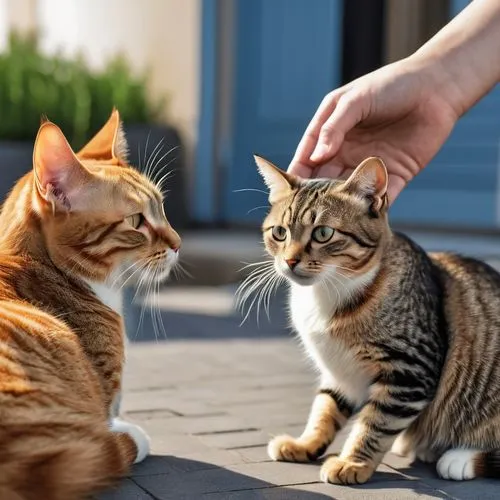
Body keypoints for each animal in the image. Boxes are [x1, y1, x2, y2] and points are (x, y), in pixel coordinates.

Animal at [254, 155, 500, 484]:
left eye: (323, 233)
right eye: (279, 232)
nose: (290, 261)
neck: (328, 293)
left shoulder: (409, 372)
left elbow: (374, 424)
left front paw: (352, 462)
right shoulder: (339, 373)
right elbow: (325, 409)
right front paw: (305, 444)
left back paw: (459, 458)